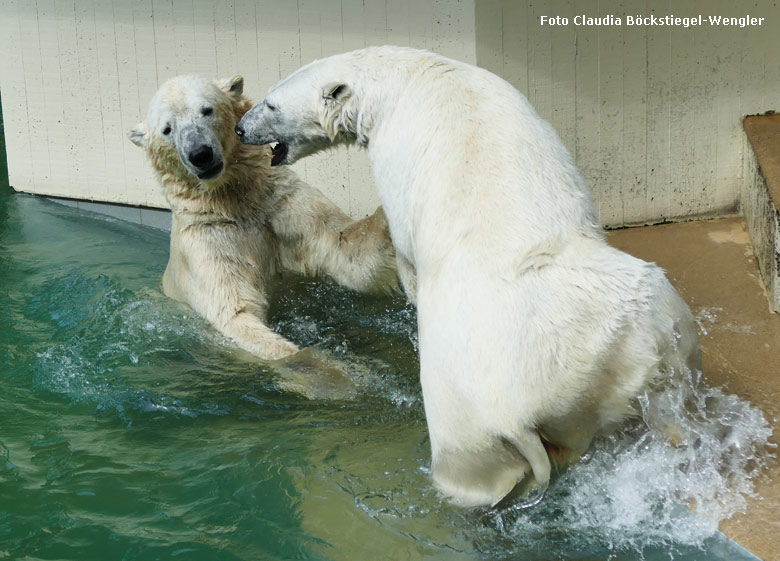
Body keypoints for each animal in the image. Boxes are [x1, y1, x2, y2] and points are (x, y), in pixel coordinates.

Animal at [130, 74, 396, 360]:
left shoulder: (280, 204)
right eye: (167, 129)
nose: (200, 154)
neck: (236, 203)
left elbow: (347, 250)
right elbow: (235, 313)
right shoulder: (207, 240)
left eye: (206, 110)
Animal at [233, 46, 700, 506]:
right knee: (671, 388)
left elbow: (406, 251)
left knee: (471, 475)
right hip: (641, 327)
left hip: (465, 422)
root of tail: (520, 415)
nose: (239, 128)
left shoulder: (397, 156)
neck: (401, 76)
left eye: (270, 102)